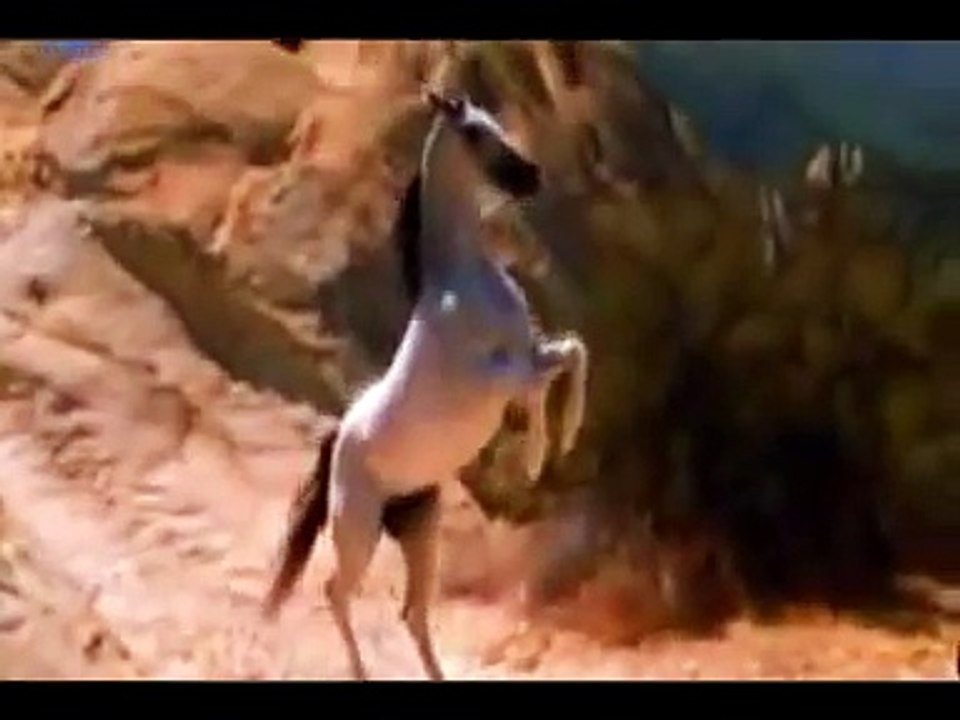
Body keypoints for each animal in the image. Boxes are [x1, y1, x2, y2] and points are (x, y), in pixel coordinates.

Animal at [262, 90, 589, 680]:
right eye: (476, 132)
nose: (531, 176)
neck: (461, 285)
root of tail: (338, 438)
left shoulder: (529, 351)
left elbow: (573, 353)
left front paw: (559, 444)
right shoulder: (498, 375)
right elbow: (540, 381)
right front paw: (538, 458)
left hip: (420, 529)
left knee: (412, 612)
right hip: (357, 532)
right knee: (336, 593)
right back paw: (360, 672)